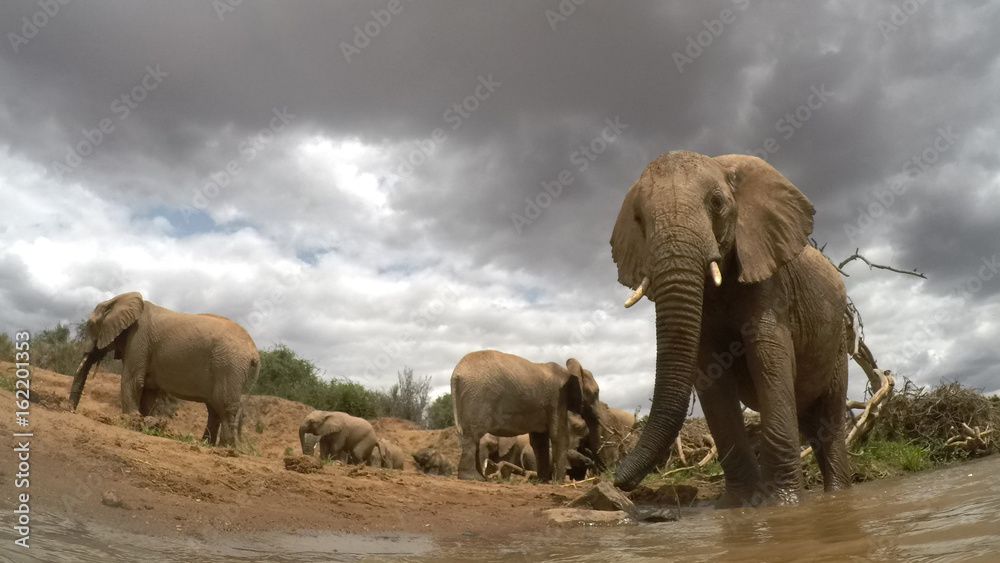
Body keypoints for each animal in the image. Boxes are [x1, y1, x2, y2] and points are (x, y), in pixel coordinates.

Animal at [69, 292, 260, 447]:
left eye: (90, 325)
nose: (70, 410)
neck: (118, 300)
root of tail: (254, 352)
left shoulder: (139, 338)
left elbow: (133, 381)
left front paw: (130, 422)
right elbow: (148, 390)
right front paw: (144, 423)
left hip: (229, 366)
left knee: (224, 405)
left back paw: (225, 448)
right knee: (214, 407)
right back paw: (207, 444)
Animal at [450, 350, 602, 482]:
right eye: (596, 392)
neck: (568, 371)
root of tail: (456, 374)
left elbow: (539, 440)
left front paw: (543, 481)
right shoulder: (557, 399)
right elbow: (560, 436)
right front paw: (558, 482)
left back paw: (478, 478)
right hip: (478, 396)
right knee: (473, 434)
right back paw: (472, 478)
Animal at [609, 151, 851, 507]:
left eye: (717, 203)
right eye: (638, 218)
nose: (616, 480)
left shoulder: (770, 281)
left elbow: (769, 359)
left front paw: (782, 505)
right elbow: (711, 377)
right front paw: (739, 506)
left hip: (839, 344)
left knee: (830, 419)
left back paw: (837, 496)